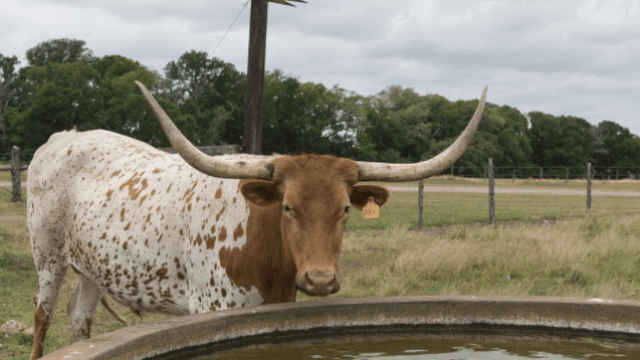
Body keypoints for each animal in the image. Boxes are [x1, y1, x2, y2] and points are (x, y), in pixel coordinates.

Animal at [26, 83, 484, 358]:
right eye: (288, 207)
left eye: (345, 210)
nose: (320, 279)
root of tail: (64, 137)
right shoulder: (212, 307)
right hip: (47, 255)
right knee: (43, 316)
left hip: (93, 266)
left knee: (79, 317)